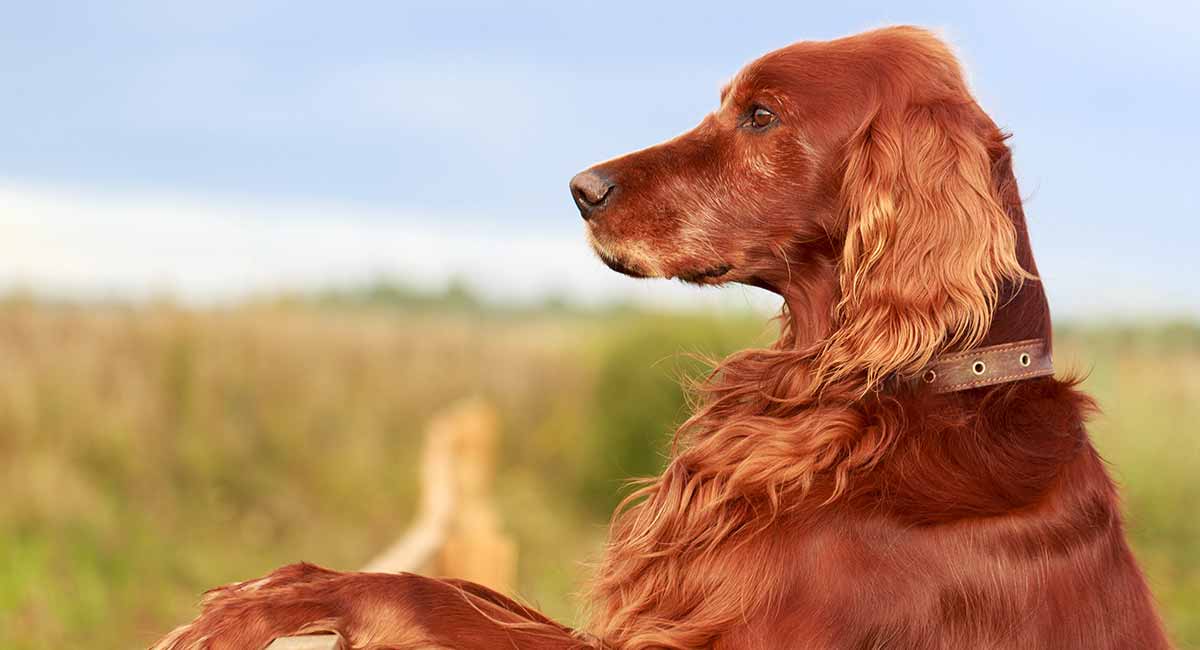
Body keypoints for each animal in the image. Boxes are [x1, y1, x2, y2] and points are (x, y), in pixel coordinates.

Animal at [154, 26, 1166, 650]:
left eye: (762, 115)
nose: (582, 188)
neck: (896, 390)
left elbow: (428, 589)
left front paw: (274, 601)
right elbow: (476, 592)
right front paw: (279, 582)